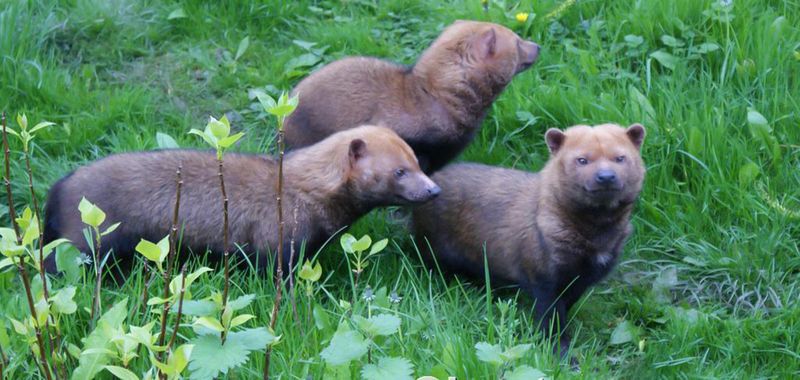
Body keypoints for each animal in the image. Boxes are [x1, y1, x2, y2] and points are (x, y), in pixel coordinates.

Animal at [410, 124, 648, 360]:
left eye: (620, 157)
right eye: (582, 159)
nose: (606, 176)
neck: (595, 242)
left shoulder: (581, 280)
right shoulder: (543, 276)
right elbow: (551, 320)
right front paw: (562, 354)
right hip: (431, 251)